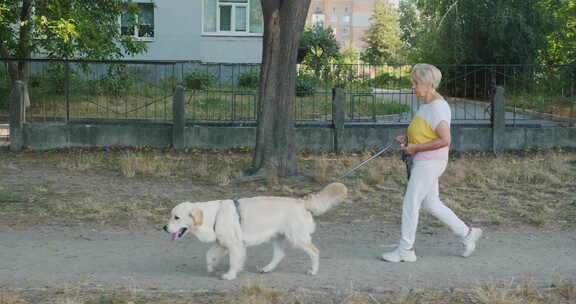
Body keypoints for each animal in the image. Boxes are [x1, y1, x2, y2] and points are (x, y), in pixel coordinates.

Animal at [164, 183, 348, 280]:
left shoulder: (235, 245)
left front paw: (230, 275)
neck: (213, 215)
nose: (164, 228)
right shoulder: (222, 243)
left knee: (315, 251)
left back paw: (313, 270)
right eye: (171, 216)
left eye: (176, 217)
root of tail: (301, 202)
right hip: (277, 237)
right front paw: (211, 267)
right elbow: (209, 255)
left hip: (297, 238)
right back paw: (266, 269)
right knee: (279, 255)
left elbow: (233, 262)